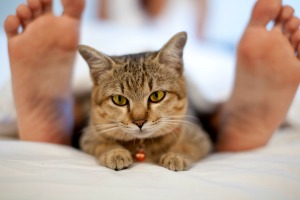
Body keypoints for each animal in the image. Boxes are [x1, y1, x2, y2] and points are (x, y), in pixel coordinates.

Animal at [78, 31, 212, 172]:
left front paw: (176, 156)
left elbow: (186, 145)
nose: (139, 122)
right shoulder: (89, 136)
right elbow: (104, 142)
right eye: (119, 99)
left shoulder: (199, 137)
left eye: (157, 96)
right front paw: (115, 153)